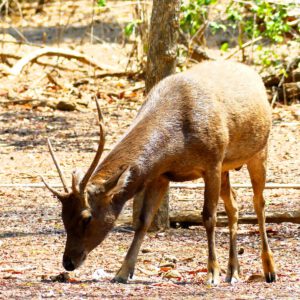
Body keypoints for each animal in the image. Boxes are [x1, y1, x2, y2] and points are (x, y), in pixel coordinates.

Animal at [42, 59, 276, 284]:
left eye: (86, 217)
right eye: (62, 215)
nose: (68, 262)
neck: (175, 145)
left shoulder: (212, 162)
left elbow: (208, 217)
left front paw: (212, 274)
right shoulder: (160, 174)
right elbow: (143, 221)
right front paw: (122, 272)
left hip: (259, 150)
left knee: (259, 203)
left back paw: (269, 270)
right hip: (227, 168)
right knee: (234, 205)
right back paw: (234, 272)